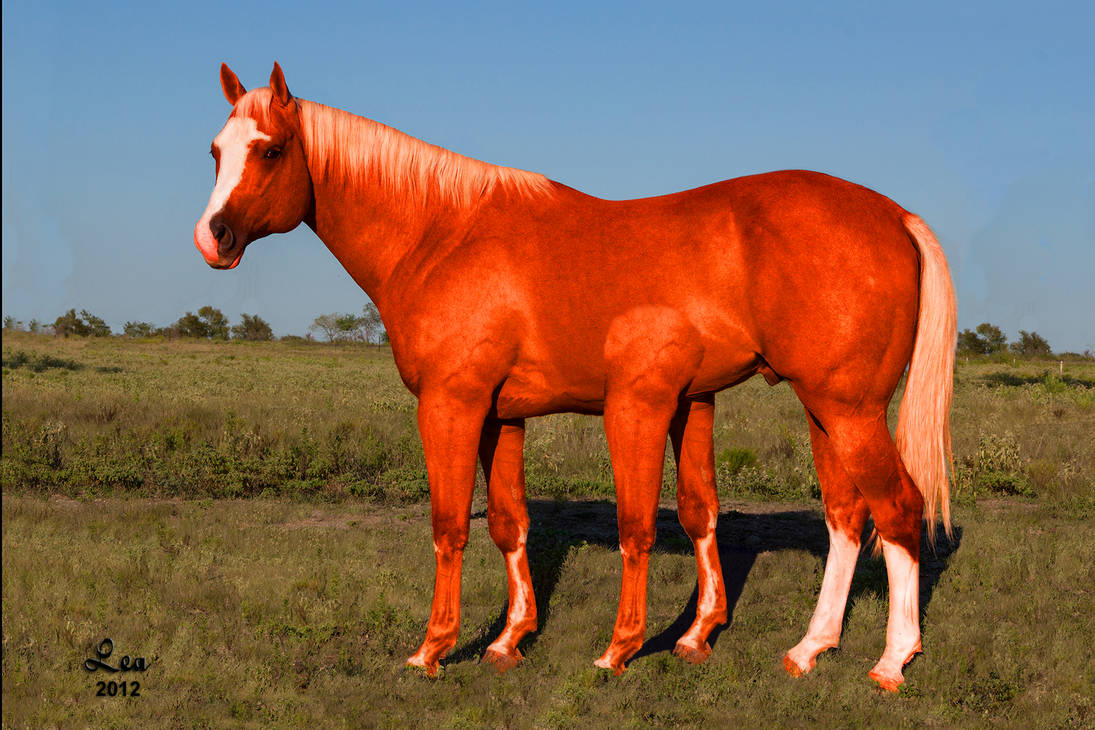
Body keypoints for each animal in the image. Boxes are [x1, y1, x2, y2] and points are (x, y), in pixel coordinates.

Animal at [195, 63, 956, 691]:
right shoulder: (503, 414)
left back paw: (891, 662)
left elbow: (452, 525)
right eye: (215, 151)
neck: (444, 235)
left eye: (270, 150)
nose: (213, 237)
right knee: (846, 517)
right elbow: (511, 523)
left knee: (897, 510)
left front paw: (435, 649)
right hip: (825, 410)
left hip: (849, 409)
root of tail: (894, 216)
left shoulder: (452, 404)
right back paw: (809, 649)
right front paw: (509, 641)